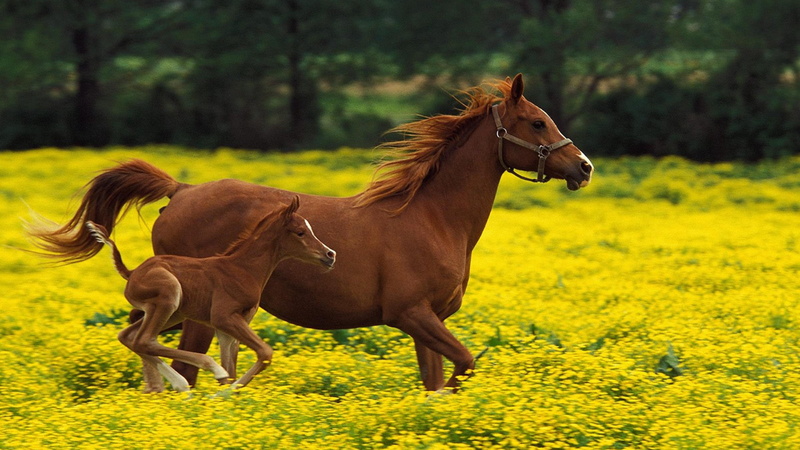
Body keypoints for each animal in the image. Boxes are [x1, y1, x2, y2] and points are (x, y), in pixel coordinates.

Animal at [86, 196, 336, 392]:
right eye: (300, 232)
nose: (330, 254)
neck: (243, 269)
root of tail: (131, 272)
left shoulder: (229, 326)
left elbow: (233, 367)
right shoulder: (223, 317)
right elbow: (264, 352)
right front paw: (222, 393)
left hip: (173, 312)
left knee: (130, 337)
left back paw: (179, 385)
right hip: (169, 295)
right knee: (144, 339)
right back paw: (204, 372)